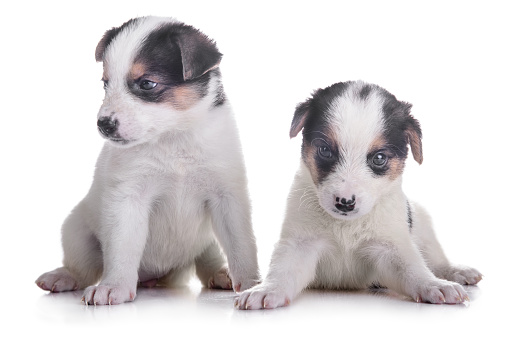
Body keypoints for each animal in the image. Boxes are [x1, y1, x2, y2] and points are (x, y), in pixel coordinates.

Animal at [35, 16, 258, 306]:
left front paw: (252, 285)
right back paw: (62, 277)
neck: (173, 138)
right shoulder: (128, 199)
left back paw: (221, 274)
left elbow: (241, 246)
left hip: (206, 240)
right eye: (105, 83)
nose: (103, 124)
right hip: (77, 232)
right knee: (82, 268)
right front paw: (114, 286)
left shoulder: (227, 197)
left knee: (206, 260)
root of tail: (156, 277)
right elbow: (122, 246)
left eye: (147, 83)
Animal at [234, 80, 480, 310]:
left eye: (379, 158)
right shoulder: (301, 243)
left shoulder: (391, 247)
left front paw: (434, 285)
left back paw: (457, 271)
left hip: (423, 223)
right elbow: (282, 271)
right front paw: (266, 289)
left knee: (435, 259)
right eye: (325, 150)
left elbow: (413, 269)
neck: (346, 227)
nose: (345, 203)